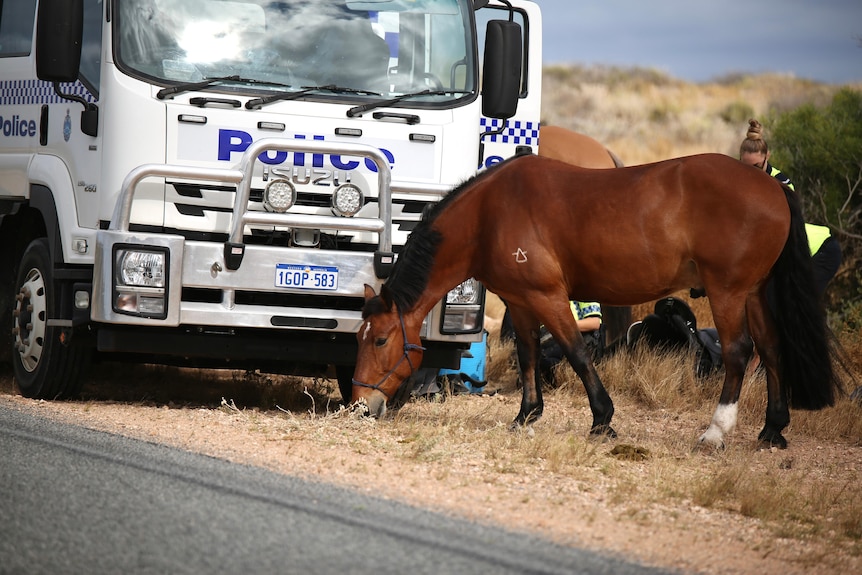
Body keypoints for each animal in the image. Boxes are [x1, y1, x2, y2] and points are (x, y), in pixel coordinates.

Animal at [354, 153, 840, 450]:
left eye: (379, 340)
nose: (360, 405)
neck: (489, 213)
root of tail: (774, 188)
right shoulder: (521, 301)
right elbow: (528, 354)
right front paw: (526, 415)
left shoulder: (548, 297)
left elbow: (576, 353)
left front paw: (602, 420)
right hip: (755, 293)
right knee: (772, 350)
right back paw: (772, 429)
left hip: (729, 293)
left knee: (739, 353)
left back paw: (715, 433)